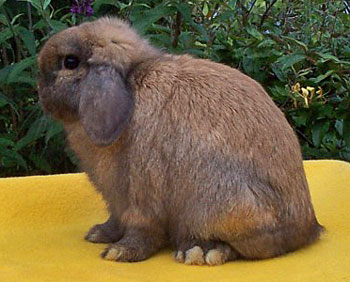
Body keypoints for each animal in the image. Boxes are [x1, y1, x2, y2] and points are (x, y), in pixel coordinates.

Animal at [37, 17, 322, 264]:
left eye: (70, 62)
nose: (39, 89)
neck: (132, 84)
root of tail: (308, 229)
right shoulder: (116, 201)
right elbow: (115, 220)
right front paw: (98, 234)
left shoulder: (140, 193)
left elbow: (142, 228)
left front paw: (119, 253)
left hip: (220, 203)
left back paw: (200, 252)